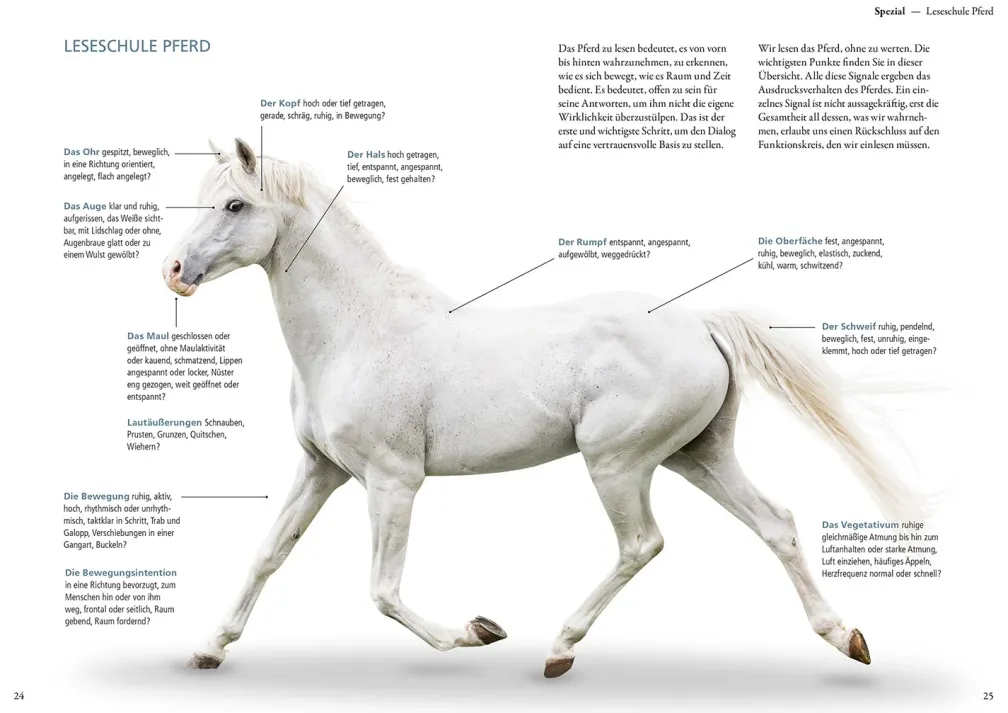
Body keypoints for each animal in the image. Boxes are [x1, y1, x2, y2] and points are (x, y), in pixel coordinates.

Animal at [163, 138, 925, 678]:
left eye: (234, 205)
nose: (174, 273)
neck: (359, 331)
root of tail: (701, 322)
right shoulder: (321, 469)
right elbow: (268, 554)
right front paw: (210, 648)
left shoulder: (392, 480)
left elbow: (382, 589)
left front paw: (477, 631)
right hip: (696, 456)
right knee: (778, 524)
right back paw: (846, 638)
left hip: (618, 462)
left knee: (643, 543)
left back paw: (560, 647)